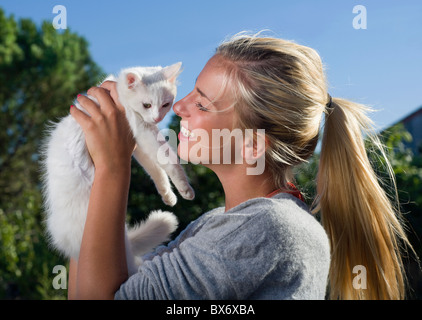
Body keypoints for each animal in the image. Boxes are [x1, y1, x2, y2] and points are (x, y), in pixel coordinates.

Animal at [41, 63, 193, 276]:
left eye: (165, 104)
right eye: (147, 105)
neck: (120, 93)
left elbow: (157, 171)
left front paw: (168, 195)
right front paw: (185, 188)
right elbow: (169, 161)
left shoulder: (139, 141)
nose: (156, 118)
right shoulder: (144, 130)